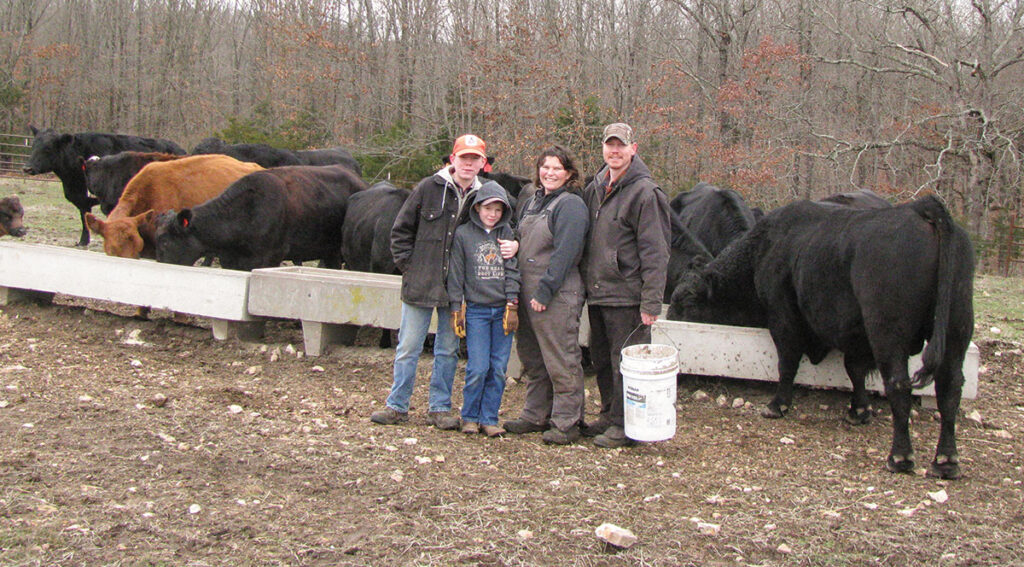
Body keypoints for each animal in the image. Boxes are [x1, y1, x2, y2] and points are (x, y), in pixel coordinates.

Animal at [23, 126, 186, 244]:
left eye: (47, 148)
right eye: (33, 146)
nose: (27, 168)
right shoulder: (81, 199)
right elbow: (84, 218)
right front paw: (83, 242)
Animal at [671, 194, 974, 476]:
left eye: (687, 301)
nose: (671, 319)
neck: (764, 249)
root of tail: (922, 209)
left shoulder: (783, 317)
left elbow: (787, 362)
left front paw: (777, 405)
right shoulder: (854, 336)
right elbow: (854, 370)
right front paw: (858, 411)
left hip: (888, 333)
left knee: (899, 384)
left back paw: (900, 456)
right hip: (957, 329)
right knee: (950, 388)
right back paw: (946, 461)